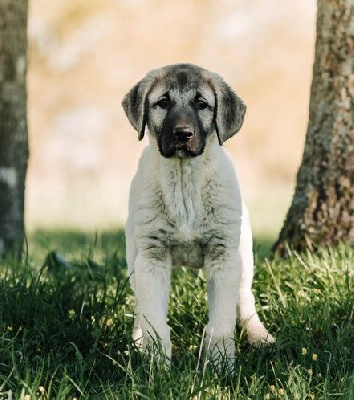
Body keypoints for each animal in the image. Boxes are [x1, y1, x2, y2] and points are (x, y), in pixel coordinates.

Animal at [123, 64, 276, 368]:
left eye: (202, 104)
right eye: (163, 102)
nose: (183, 134)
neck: (185, 184)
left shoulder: (223, 257)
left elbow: (223, 321)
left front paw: (220, 366)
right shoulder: (152, 258)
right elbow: (154, 321)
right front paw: (157, 368)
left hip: (243, 255)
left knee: (246, 300)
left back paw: (259, 336)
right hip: (134, 257)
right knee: (139, 305)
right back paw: (137, 341)